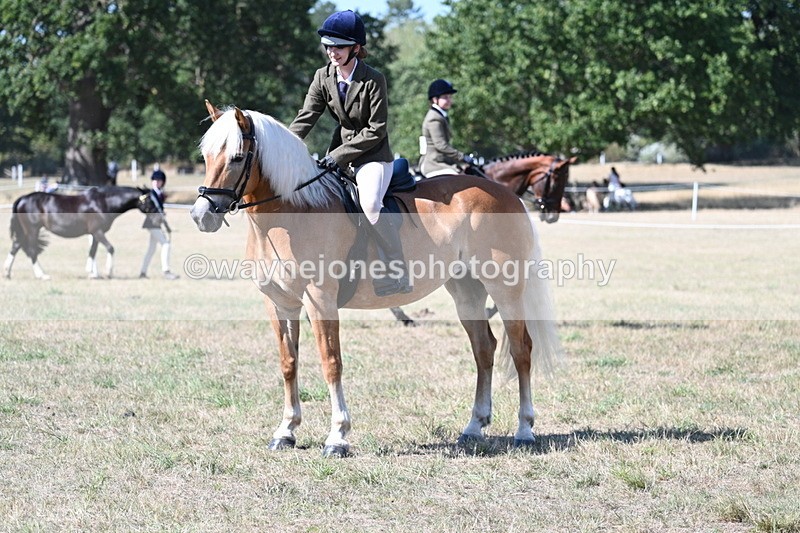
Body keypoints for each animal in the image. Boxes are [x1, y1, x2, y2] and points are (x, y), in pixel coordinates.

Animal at [4, 186, 155, 280]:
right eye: (149, 200)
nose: (157, 214)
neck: (103, 203)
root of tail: (22, 199)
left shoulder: (95, 234)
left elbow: (92, 251)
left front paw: (92, 274)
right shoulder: (98, 231)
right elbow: (110, 248)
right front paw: (108, 272)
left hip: (25, 231)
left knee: (15, 247)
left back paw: (7, 273)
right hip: (32, 230)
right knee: (32, 250)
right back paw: (42, 275)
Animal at [190, 102, 562, 457]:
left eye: (237, 157)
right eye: (206, 156)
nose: (201, 216)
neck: (290, 214)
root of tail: (505, 194)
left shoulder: (319, 300)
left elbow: (331, 362)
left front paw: (338, 436)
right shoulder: (279, 303)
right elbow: (288, 363)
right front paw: (286, 431)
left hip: (505, 288)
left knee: (521, 349)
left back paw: (525, 430)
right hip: (466, 291)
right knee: (484, 348)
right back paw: (473, 427)